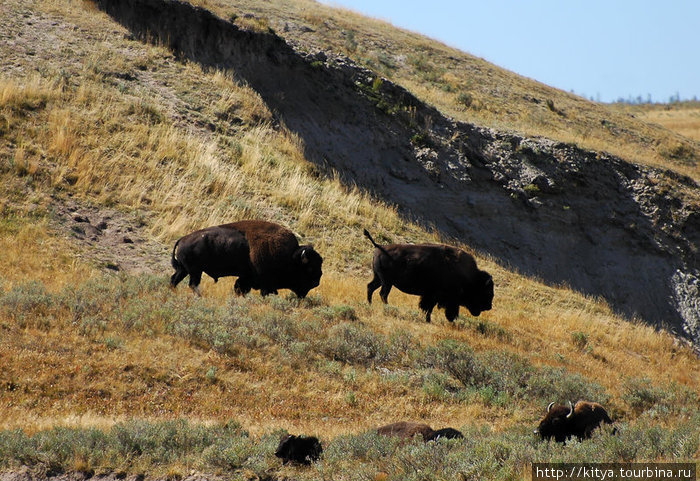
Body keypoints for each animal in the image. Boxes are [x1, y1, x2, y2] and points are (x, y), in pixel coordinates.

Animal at [170, 218, 322, 296]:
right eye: (309, 268)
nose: (317, 282)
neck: (290, 258)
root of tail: (182, 239)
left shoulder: (246, 278)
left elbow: (239, 288)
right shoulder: (264, 283)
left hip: (184, 270)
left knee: (174, 280)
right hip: (195, 271)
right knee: (192, 284)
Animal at [364, 230, 494, 322]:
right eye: (486, 291)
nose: (489, 306)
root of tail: (379, 246)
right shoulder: (435, 296)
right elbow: (429, 308)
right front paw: (429, 320)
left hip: (379, 279)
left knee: (371, 287)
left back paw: (370, 304)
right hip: (387, 282)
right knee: (383, 294)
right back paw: (387, 307)